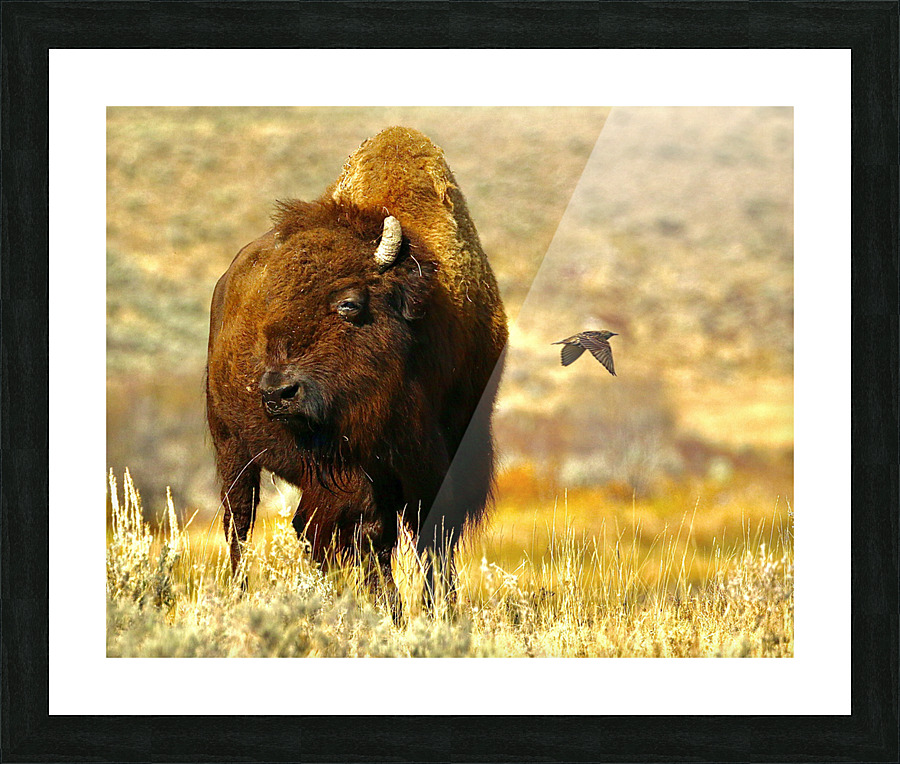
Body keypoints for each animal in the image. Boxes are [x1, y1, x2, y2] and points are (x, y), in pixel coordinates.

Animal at [206, 127, 507, 608]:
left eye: (349, 303)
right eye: (272, 307)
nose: (276, 393)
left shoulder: (448, 457)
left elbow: (436, 537)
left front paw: (440, 608)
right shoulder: (357, 470)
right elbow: (372, 535)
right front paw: (392, 611)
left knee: (301, 529)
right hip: (233, 450)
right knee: (241, 522)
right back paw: (240, 595)